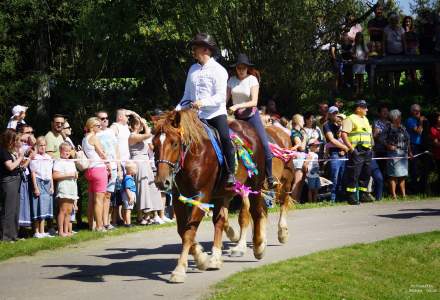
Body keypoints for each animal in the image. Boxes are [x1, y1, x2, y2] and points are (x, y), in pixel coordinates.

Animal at [151, 109, 268, 282]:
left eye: (174, 143)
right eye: (154, 145)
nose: (161, 182)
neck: (193, 156)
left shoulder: (202, 197)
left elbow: (189, 232)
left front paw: (179, 270)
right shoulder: (180, 199)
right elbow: (182, 230)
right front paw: (202, 258)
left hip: (255, 185)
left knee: (256, 212)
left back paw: (259, 246)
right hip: (221, 194)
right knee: (219, 222)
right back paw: (215, 258)